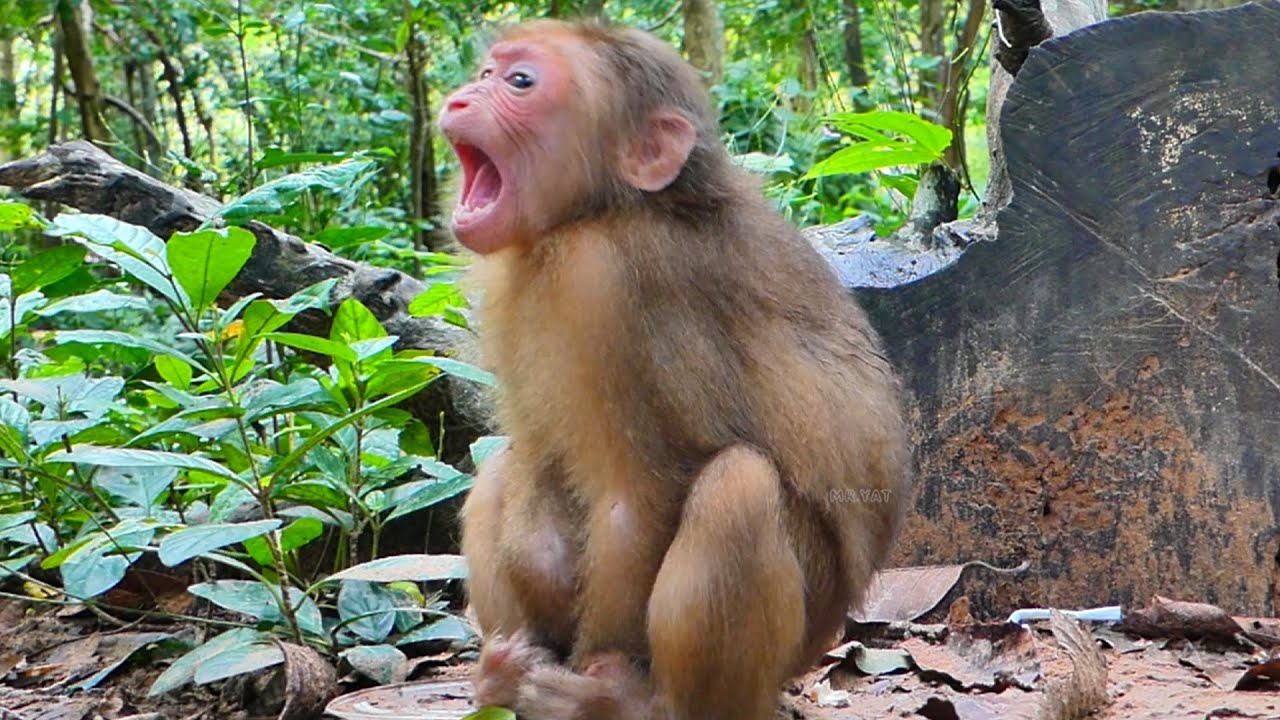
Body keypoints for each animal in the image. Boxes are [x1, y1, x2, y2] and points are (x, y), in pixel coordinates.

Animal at [439, 20, 911, 720]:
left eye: (520, 83)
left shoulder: (608, 278)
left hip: (795, 643)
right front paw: (539, 584)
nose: (461, 98)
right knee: (502, 466)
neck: (598, 212)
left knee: (739, 487)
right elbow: (538, 454)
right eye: (487, 73)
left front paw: (591, 688)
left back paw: (628, 703)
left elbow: (636, 499)